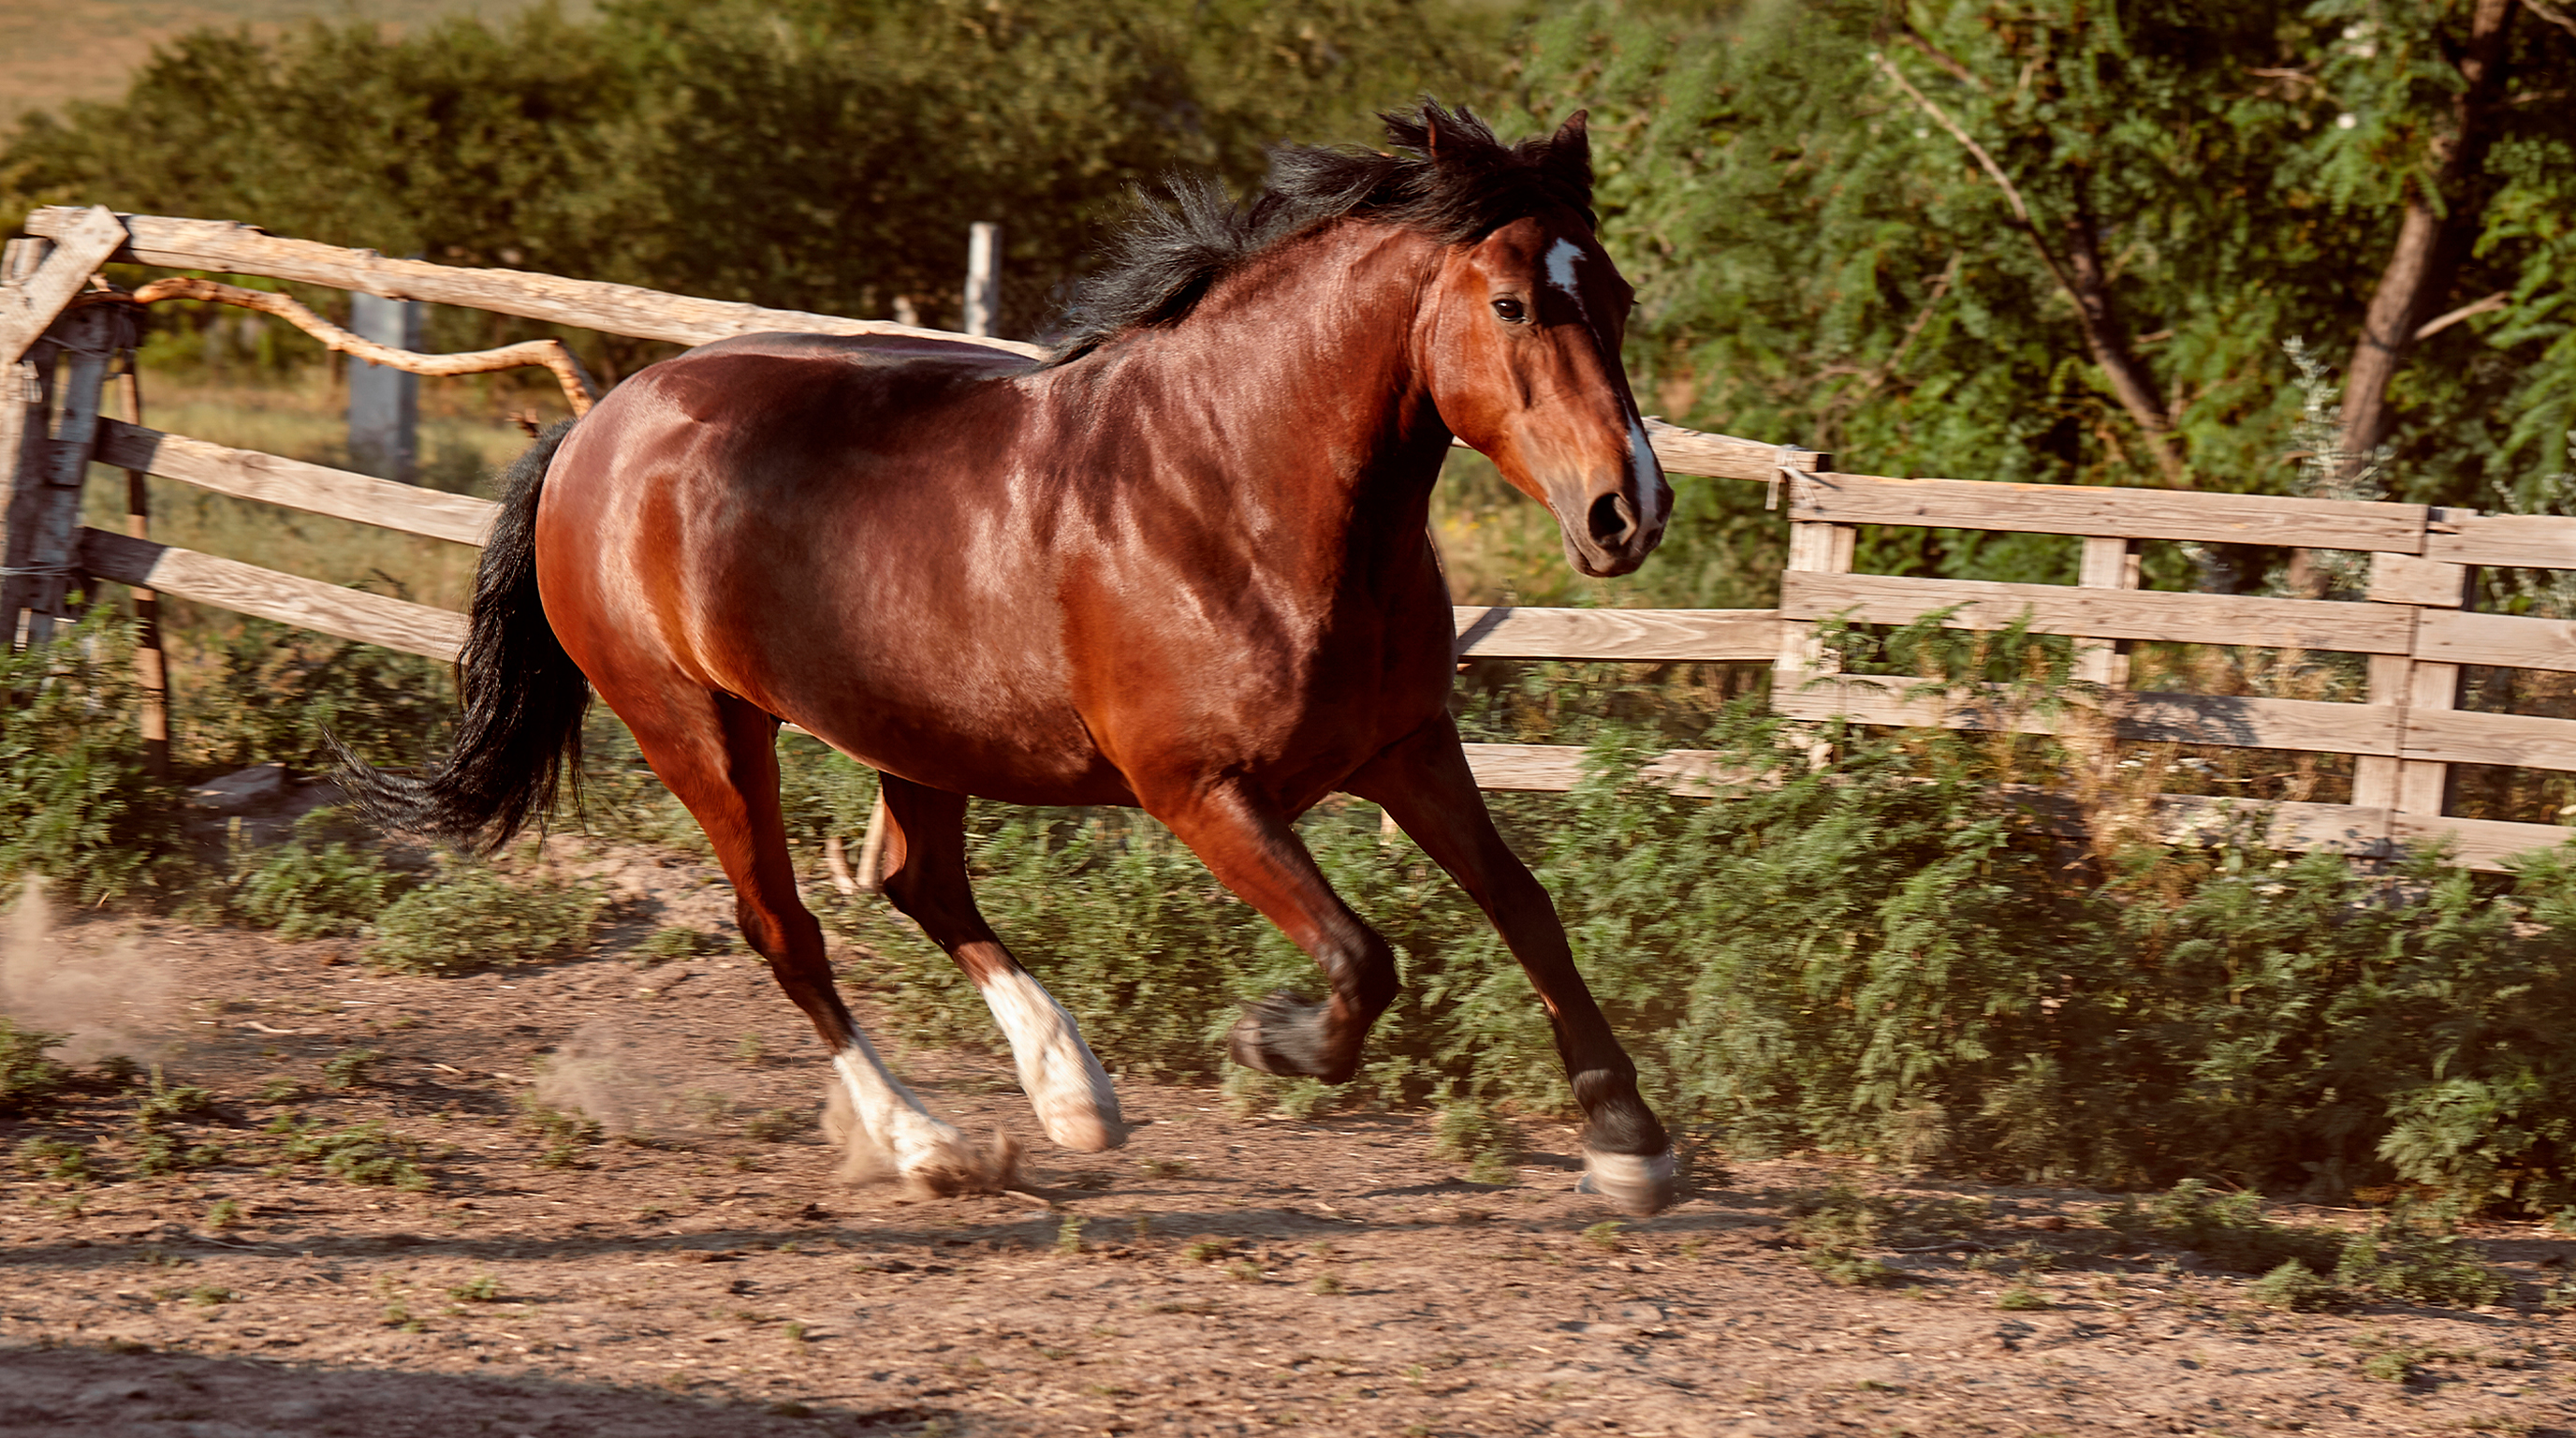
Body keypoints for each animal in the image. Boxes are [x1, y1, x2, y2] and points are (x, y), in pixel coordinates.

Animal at [338, 101, 1682, 1215]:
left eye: (1615, 296)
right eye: (1511, 305)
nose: (1628, 512)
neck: (1237, 490)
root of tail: (594, 430)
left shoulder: (1404, 746)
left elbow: (1526, 907)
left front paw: (1629, 1142)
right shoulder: (1200, 792)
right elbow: (1364, 954)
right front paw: (1269, 1041)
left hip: (911, 727)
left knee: (916, 883)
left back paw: (1070, 1097)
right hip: (700, 728)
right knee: (784, 926)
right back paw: (929, 1143)